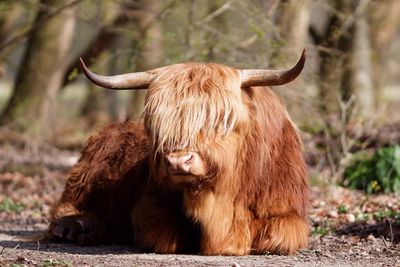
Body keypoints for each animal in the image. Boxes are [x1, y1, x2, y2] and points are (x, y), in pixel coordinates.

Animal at [47, 49, 310, 256]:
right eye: (159, 124)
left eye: (222, 121)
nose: (178, 161)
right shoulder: (151, 206)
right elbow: (163, 234)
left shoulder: (288, 212)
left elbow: (276, 236)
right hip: (85, 172)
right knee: (65, 208)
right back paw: (78, 227)